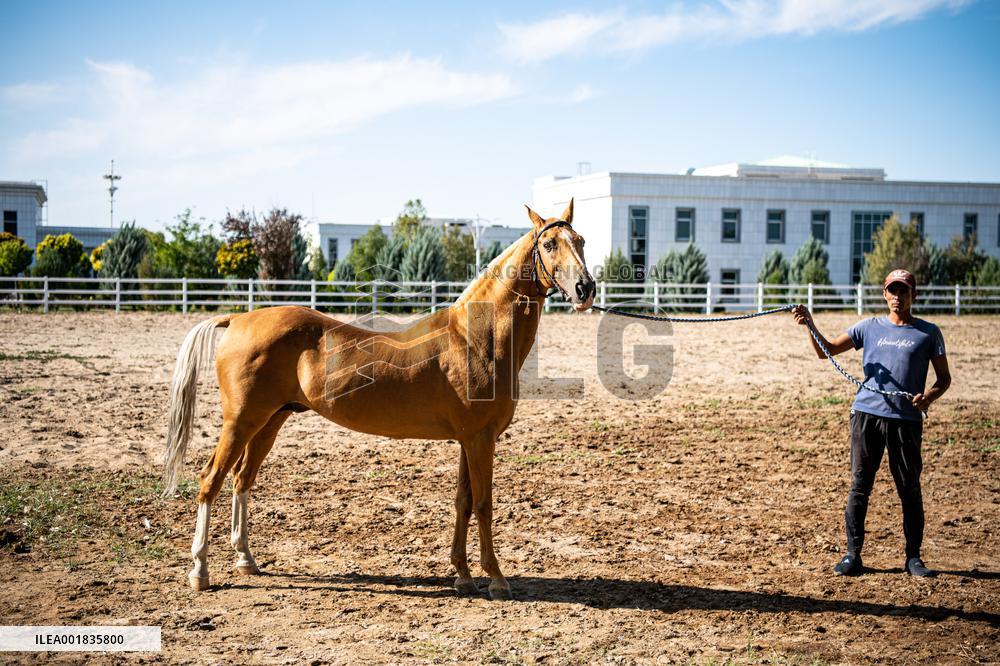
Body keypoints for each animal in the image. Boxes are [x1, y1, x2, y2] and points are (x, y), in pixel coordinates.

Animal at [162, 199, 595, 600]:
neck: (475, 338)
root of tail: (237, 319)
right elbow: (484, 505)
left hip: (270, 422)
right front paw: (497, 579)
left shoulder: (468, 440)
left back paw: (246, 559)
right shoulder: (480, 439)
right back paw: (199, 571)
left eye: (581, 241)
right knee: (211, 480)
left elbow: (463, 502)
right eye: (550, 244)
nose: (585, 289)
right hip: (241, 422)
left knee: (242, 480)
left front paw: (463, 574)